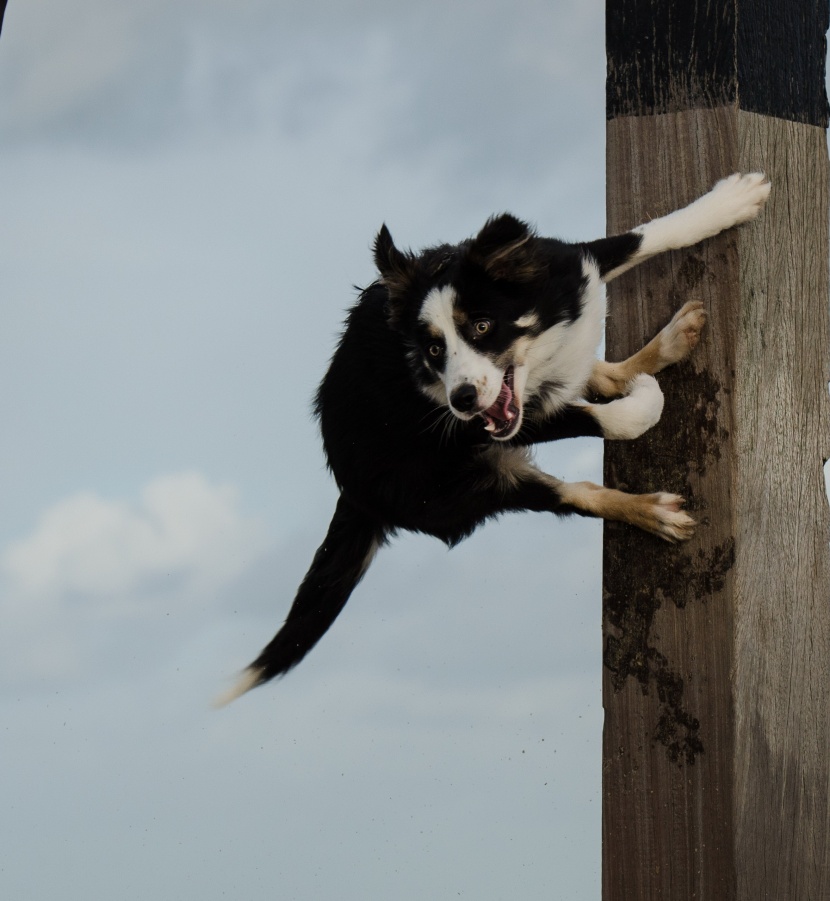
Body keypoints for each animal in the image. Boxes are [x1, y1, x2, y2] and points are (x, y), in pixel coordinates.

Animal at [216, 171, 772, 704]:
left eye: (482, 326)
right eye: (433, 350)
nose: (462, 398)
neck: (538, 357)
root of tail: (351, 490)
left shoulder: (567, 270)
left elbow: (642, 237)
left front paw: (732, 201)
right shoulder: (477, 428)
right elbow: (614, 417)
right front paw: (643, 402)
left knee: (598, 379)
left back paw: (671, 341)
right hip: (469, 487)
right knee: (578, 493)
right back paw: (655, 511)